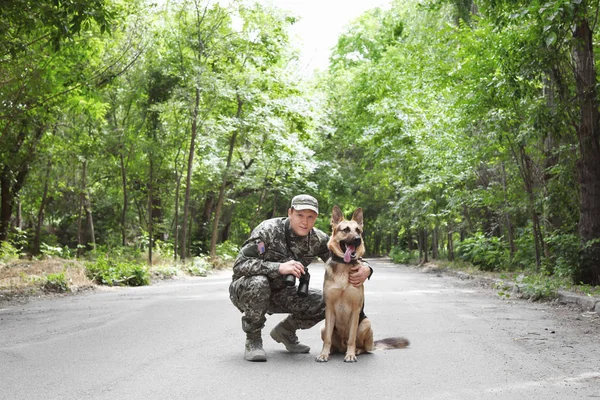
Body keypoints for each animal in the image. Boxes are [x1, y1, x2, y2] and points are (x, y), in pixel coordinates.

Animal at [316, 206, 410, 362]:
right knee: (332, 342)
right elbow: (328, 339)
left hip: (366, 323)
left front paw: (350, 355)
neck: (344, 266)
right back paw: (333, 351)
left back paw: (356, 351)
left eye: (358, 230)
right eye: (346, 230)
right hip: (323, 327)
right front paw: (323, 354)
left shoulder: (355, 310)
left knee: (365, 348)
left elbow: (352, 338)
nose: (357, 239)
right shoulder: (329, 309)